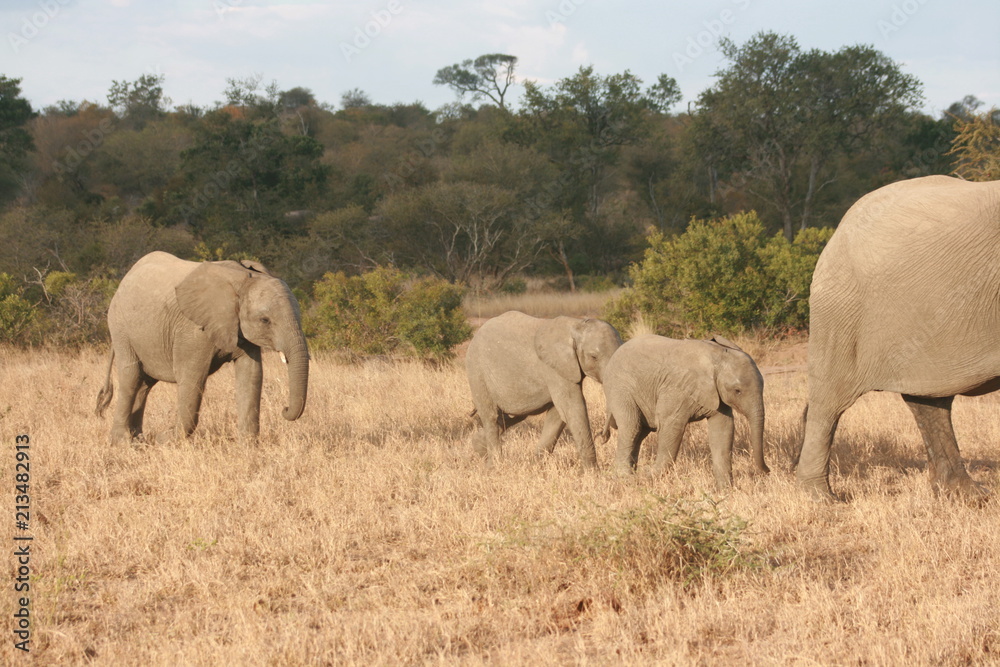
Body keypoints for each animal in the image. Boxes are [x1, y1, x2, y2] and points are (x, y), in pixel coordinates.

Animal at [98, 250, 310, 444]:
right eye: (265, 320)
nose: (284, 409)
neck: (241, 279)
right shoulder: (192, 330)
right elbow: (192, 377)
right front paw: (165, 440)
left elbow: (252, 375)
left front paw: (248, 446)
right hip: (120, 327)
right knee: (131, 376)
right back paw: (123, 442)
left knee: (145, 384)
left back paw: (139, 439)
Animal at [464, 312, 620, 470]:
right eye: (593, 357)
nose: (602, 437)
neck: (577, 324)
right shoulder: (553, 368)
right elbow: (573, 409)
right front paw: (593, 472)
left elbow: (558, 415)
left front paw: (534, 466)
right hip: (476, 371)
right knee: (491, 416)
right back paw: (494, 466)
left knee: (514, 416)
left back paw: (479, 447)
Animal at [600, 336, 764, 488]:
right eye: (737, 391)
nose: (766, 471)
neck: (716, 356)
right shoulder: (675, 390)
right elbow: (671, 428)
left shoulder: (716, 394)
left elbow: (723, 430)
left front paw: (725, 491)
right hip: (619, 387)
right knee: (631, 426)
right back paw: (624, 477)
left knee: (640, 431)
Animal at [796, 177, 1000, 500]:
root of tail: (839, 228)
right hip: (841, 311)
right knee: (828, 403)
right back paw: (821, 497)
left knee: (929, 398)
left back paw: (966, 494)